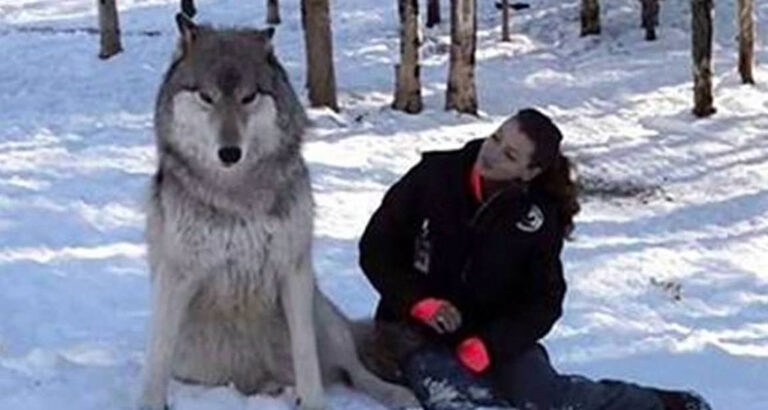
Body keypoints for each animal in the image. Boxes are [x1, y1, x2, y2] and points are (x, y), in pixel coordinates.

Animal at [139, 14, 416, 410]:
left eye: (248, 97)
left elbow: (307, 356)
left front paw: (313, 403)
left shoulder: (293, 270)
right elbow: (157, 356)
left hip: (324, 316)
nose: (229, 153)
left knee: (353, 370)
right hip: (196, 361)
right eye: (206, 97)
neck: (237, 195)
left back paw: (396, 394)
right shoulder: (177, 275)